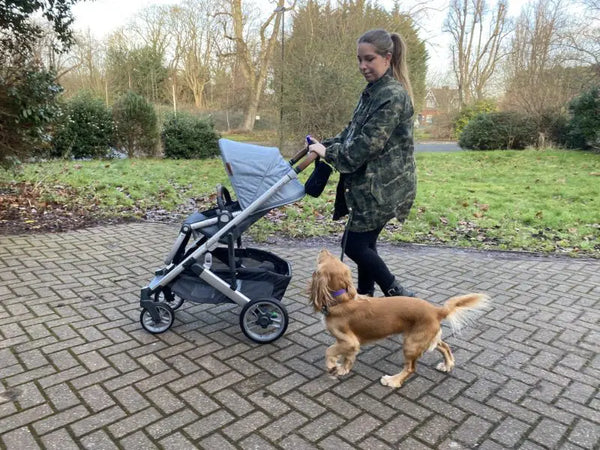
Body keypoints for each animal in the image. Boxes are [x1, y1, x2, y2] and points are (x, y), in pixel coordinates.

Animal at [310, 248, 488, 388]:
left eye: (323, 260)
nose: (324, 249)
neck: (341, 299)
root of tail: (436, 310)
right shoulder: (349, 343)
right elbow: (347, 356)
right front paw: (343, 368)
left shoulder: (349, 341)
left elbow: (329, 350)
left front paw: (332, 366)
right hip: (424, 339)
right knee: (444, 346)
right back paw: (448, 364)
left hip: (411, 344)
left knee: (410, 368)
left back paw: (393, 381)